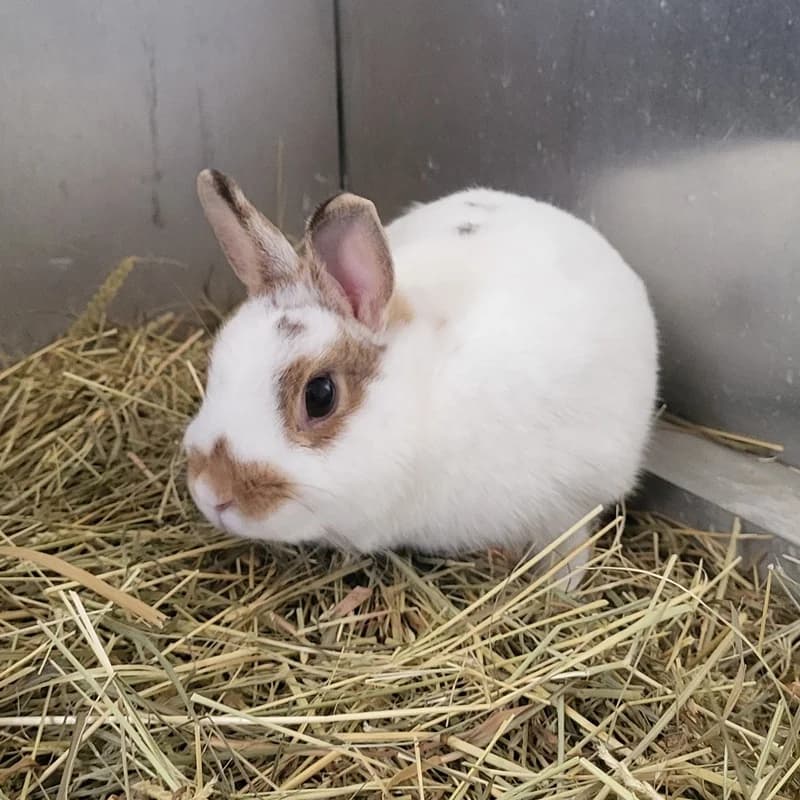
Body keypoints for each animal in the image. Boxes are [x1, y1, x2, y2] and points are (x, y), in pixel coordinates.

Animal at [183, 169, 659, 590]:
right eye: (217, 361)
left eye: (319, 396)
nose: (212, 492)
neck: (422, 398)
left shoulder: (570, 497)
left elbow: (569, 543)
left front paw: (562, 587)